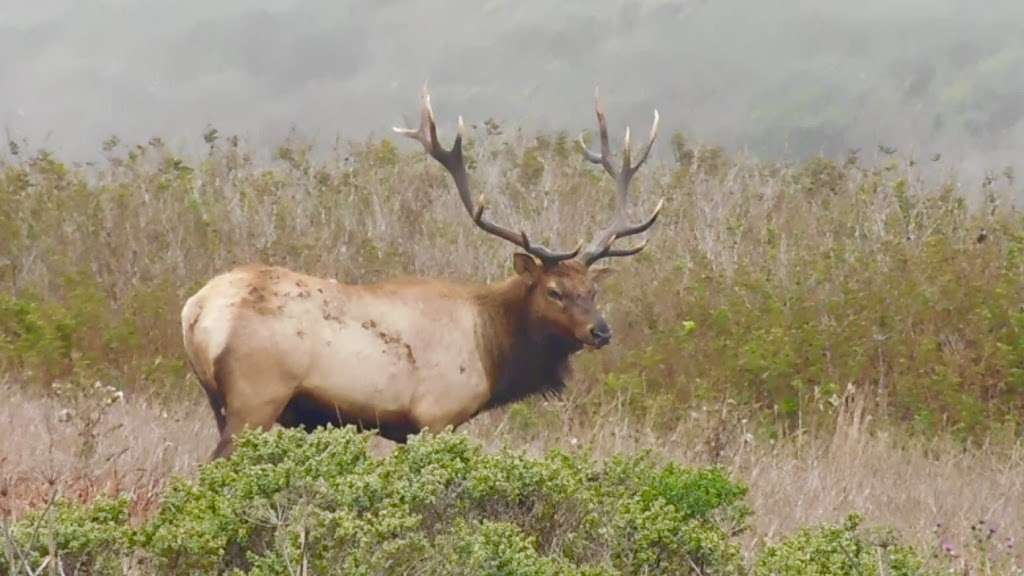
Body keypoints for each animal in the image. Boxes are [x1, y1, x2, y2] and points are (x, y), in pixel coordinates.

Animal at [183, 86, 663, 457]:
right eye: (554, 291)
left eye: (593, 291)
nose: (601, 331)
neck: (491, 348)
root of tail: (196, 311)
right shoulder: (437, 414)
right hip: (257, 396)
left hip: (219, 400)